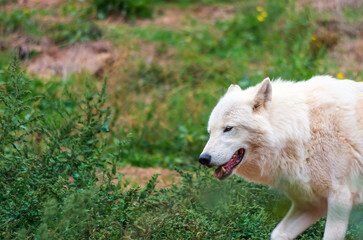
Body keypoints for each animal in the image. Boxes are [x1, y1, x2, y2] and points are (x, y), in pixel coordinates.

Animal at [200, 76, 362, 240]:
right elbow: (278, 233)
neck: (304, 131)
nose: (203, 159)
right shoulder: (312, 204)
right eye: (210, 131)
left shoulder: (340, 198)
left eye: (228, 129)